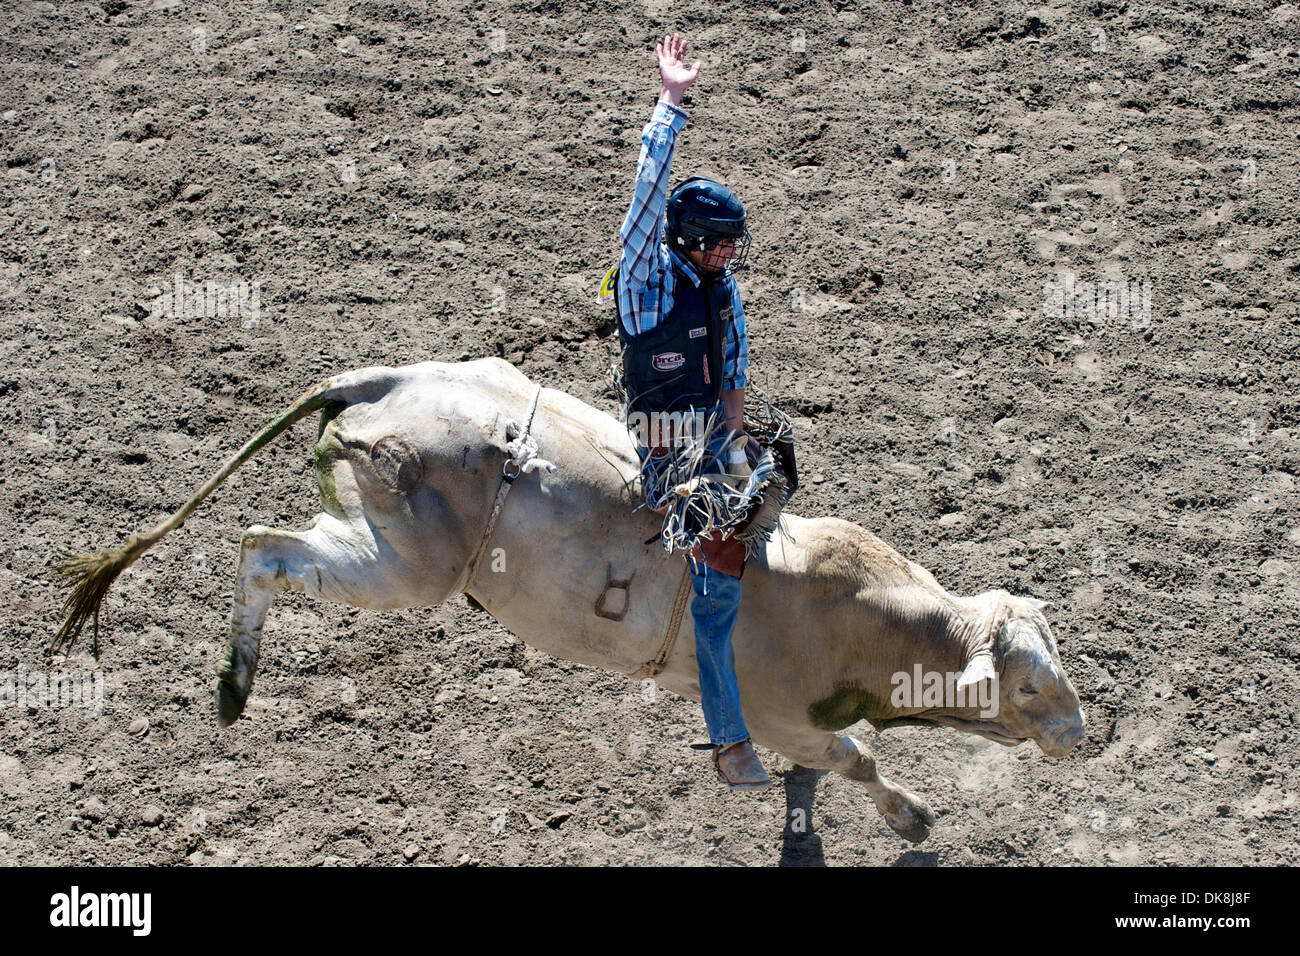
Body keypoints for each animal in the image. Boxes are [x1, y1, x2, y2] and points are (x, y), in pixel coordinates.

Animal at [53, 358, 1086, 842]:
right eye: (1031, 687)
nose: (1082, 733)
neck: (856, 621)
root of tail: (389, 380)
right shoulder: (774, 716)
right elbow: (856, 759)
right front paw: (911, 816)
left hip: (376, 540)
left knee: (265, 542)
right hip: (402, 569)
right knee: (258, 548)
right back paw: (234, 683)